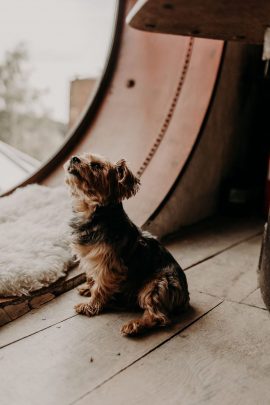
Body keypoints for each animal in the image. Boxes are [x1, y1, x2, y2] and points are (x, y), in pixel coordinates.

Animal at [64, 152, 189, 334]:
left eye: (96, 166)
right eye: (82, 156)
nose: (74, 158)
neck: (93, 212)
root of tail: (185, 297)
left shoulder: (109, 267)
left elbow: (100, 288)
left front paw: (90, 306)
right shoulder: (90, 258)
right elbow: (93, 278)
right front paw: (88, 288)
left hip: (155, 286)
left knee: (158, 316)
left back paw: (134, 325)